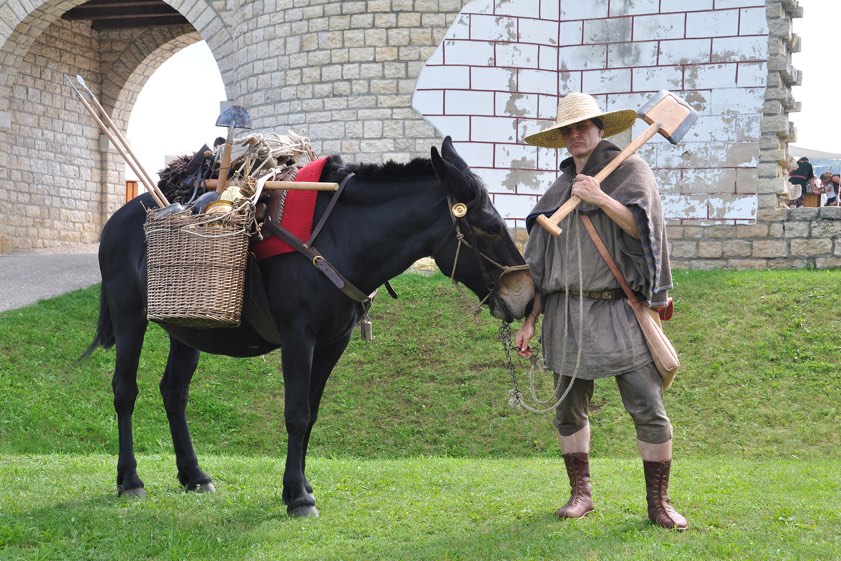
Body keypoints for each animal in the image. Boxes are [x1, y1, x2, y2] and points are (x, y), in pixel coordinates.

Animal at [82, 136, 535, 517]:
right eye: (490, 227)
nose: (526, 296)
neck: (339, 238)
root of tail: (118, 220)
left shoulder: (334, 341)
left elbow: (313, 413)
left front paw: (298, 485)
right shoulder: (298, 337)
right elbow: (297, 413)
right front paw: (298, 497)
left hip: (189, 329)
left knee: (174, 393)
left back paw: (194, 475)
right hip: (129, 319)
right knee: (125, 391)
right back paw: (130, 480)